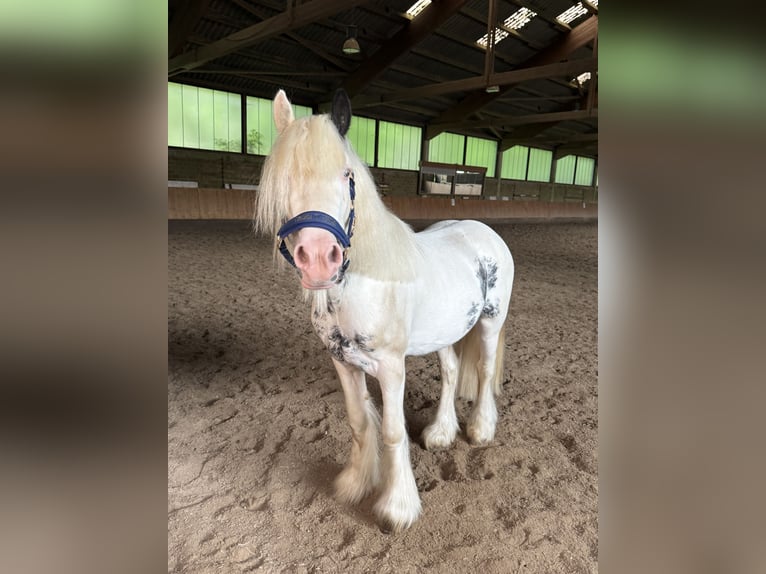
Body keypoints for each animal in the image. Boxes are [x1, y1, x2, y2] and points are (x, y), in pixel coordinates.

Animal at [255, 89, 514, 531]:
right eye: (285, 176)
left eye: (347, 175)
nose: (319, 259)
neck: (363, 284)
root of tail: (484, 232)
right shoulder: (343, 363)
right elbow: (360, 422)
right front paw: (356, 484)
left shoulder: (392, 369)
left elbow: (393, 432)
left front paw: (397, 508)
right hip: (445, 332)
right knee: (450, 372)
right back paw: (440, 433)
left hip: (490, 323)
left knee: (482, 370)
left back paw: (480, 430)